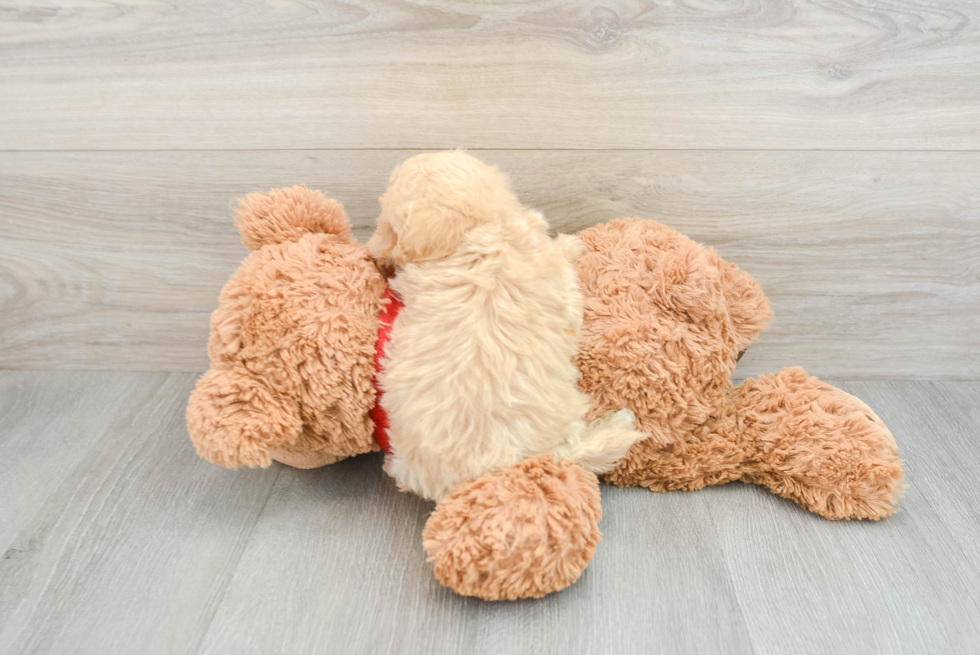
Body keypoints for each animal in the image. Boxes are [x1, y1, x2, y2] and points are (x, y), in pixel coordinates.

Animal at [368, 152, 644, 502]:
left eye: (389, 225)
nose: (371, 253)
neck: (482, 229)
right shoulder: (563, 289)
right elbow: (565, 271)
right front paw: (571, 245)